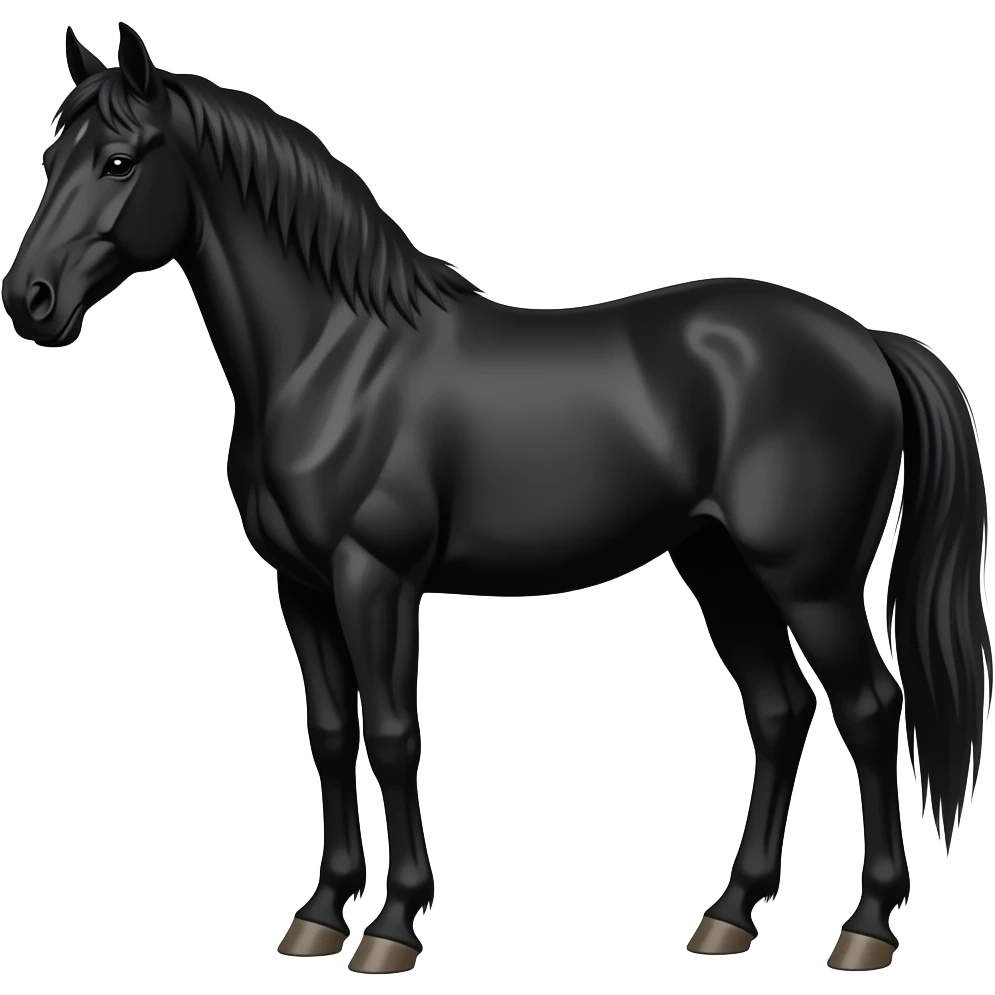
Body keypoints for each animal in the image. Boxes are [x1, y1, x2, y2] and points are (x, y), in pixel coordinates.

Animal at [2, 22, 990, 975]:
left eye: (119, 161)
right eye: (51, 157)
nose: (29, 300)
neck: (333, 357)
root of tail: (866, 342)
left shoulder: (376, 578)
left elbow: (393, 734)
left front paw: (392, 926)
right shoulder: (303, 584)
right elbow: (330, 733)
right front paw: (319, 915)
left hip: (808, 581)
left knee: (870, 710)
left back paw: (865, 927)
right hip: (719, 566)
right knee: (779, 712)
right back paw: (727, 917)